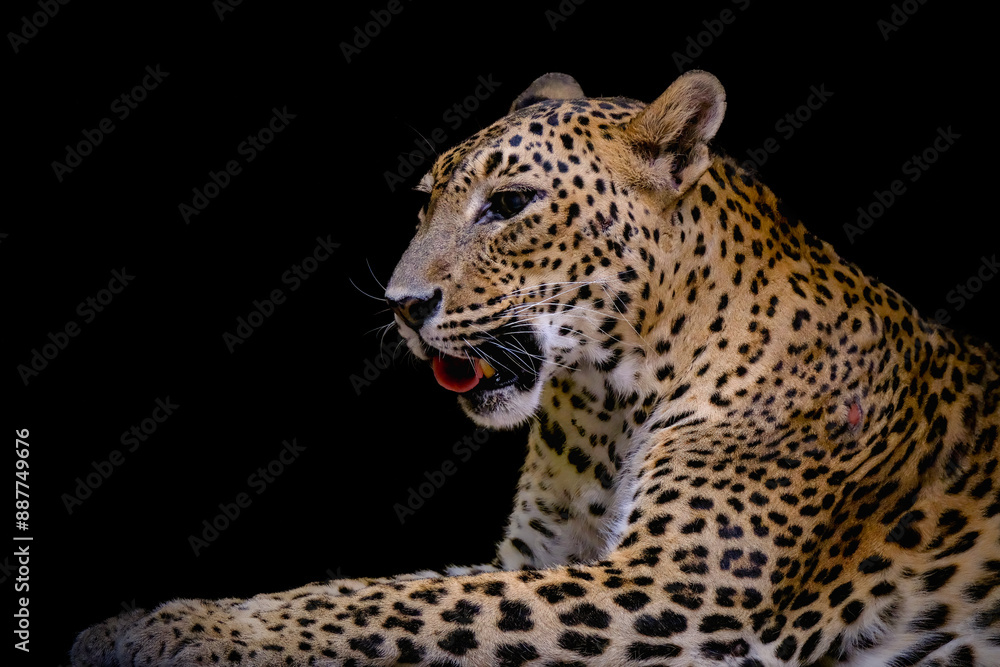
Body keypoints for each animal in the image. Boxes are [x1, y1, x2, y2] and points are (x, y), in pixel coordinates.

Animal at [72, 70, 1000, 666]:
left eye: (510, 204)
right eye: (426, 203)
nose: (402, 305)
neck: (610, 398)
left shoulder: (675, 589)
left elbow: (401, 598)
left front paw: (178, 631)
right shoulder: (543, 555)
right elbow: (405, 590)